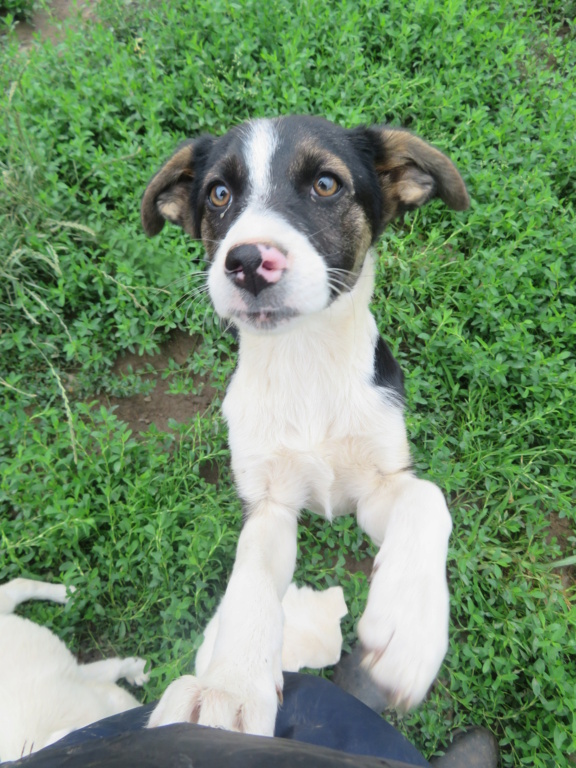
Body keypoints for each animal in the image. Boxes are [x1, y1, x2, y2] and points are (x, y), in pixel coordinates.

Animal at [140, 112, 468, 732]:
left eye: (326, 184)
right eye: (219, 194)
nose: (247, 261)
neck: (305, 358)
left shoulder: (379, 482)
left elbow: (428, 498)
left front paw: (408, 629)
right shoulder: (269, 501)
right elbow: (249, 579)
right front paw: (230, 687)